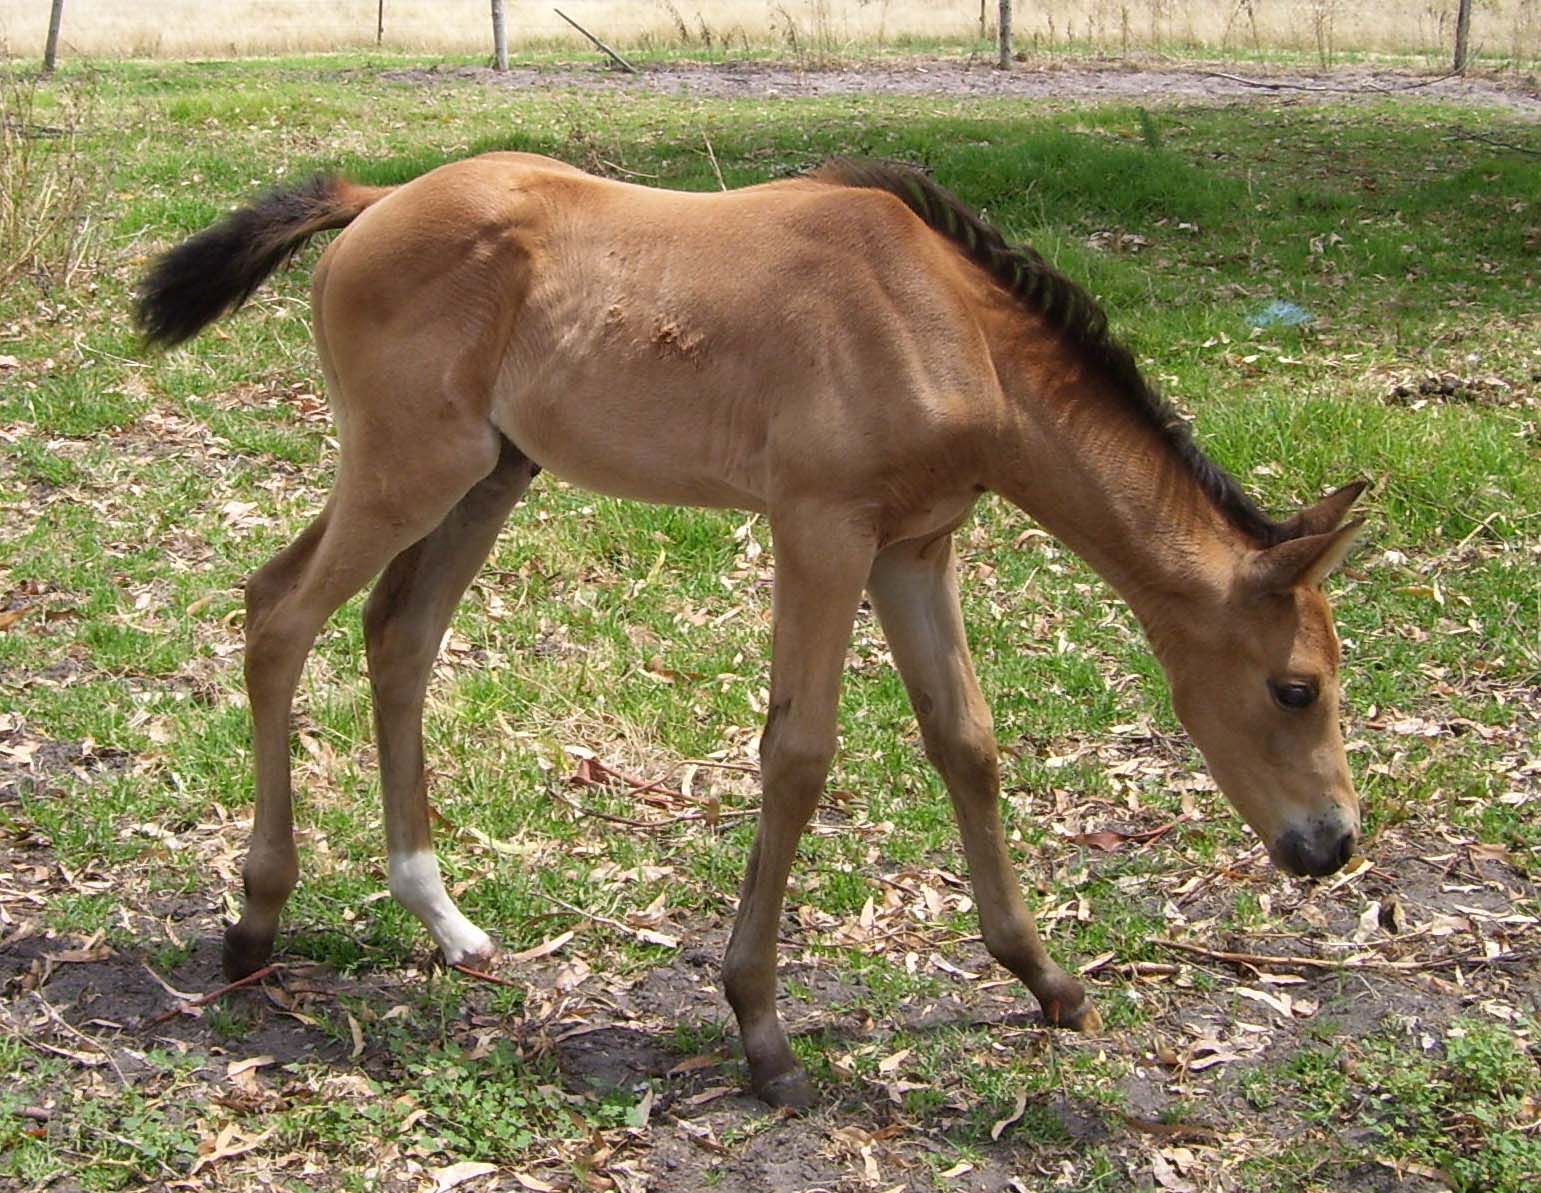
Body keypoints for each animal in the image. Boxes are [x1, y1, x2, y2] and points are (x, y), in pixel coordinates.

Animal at [138, 151, 1368, 1109]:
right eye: (1294, 687)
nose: (1329, 844)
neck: (946, 325)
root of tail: (378, 198)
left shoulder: (914, 547)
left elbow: (964, 741)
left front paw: (1047, 981)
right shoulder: (820, 528)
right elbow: (798, 753)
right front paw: (762, 1031)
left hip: (486, 473)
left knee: (397, 635)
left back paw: (444, 919)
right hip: (409, 467)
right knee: (278, 612)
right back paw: (255, 918)